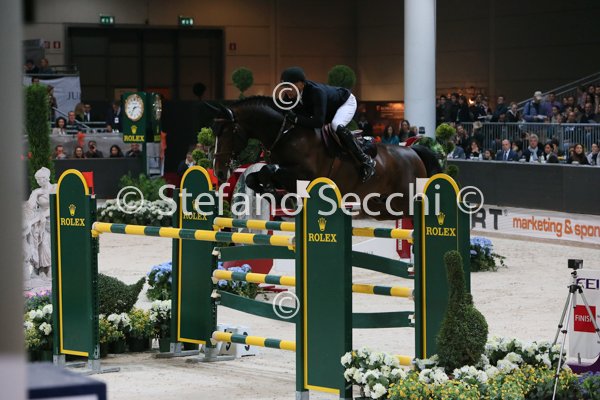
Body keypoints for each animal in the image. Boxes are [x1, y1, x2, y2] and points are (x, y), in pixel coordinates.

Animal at [210, 96, 442, 220]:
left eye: (226, 132)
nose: (219, 171)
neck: (286, 133)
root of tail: (412, 151)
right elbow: (253, 177)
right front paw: (269, 191)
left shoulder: (303, 174)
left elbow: (269, 170)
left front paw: (274, 192)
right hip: (380, 205)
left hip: (405, 200)